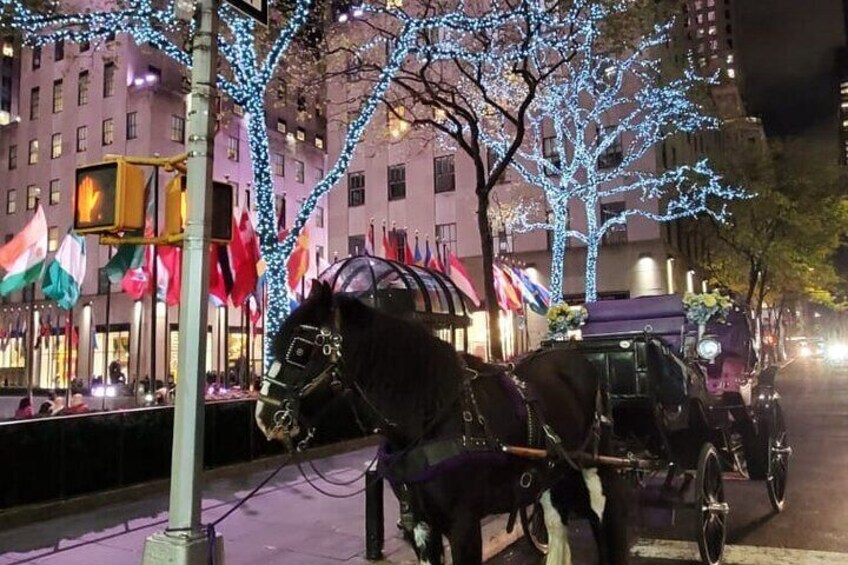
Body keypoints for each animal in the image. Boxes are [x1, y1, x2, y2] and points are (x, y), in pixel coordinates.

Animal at [255, 282, 628, 564]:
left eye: (300, 348)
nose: (264, 416)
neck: (428, 418)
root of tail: (576, 357)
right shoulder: (421, 526)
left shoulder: (463, 526)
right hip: (549, 474)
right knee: (555, 522)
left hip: (596, 469)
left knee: (603, 520)